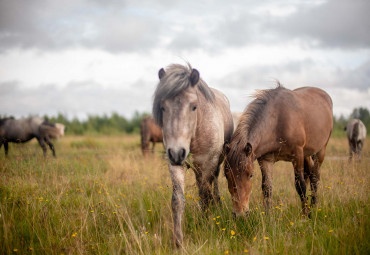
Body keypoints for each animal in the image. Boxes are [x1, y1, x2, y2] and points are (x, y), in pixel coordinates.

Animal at [152, 62, 233, 246]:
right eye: (163, 107)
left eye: (194, 106)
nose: (177, 152)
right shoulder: (175, 164)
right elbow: (177, 201)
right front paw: (178, 241)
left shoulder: (208, 163)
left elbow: (205, 195)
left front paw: (205, 223)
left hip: (215, 163)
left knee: (213, 184)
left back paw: (217, 204)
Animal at [224, 84, 334, 216]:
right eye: (226, 175)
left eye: (251, 175)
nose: (239, 214)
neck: (278, 120)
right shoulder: (266, 160)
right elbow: (267, 188)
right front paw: (267, 216)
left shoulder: (297, 155)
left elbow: (300, 186)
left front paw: (306, 215)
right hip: (307, 154)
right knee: (310, 173)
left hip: (320, 151)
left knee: (315, 177)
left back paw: (314, 205)